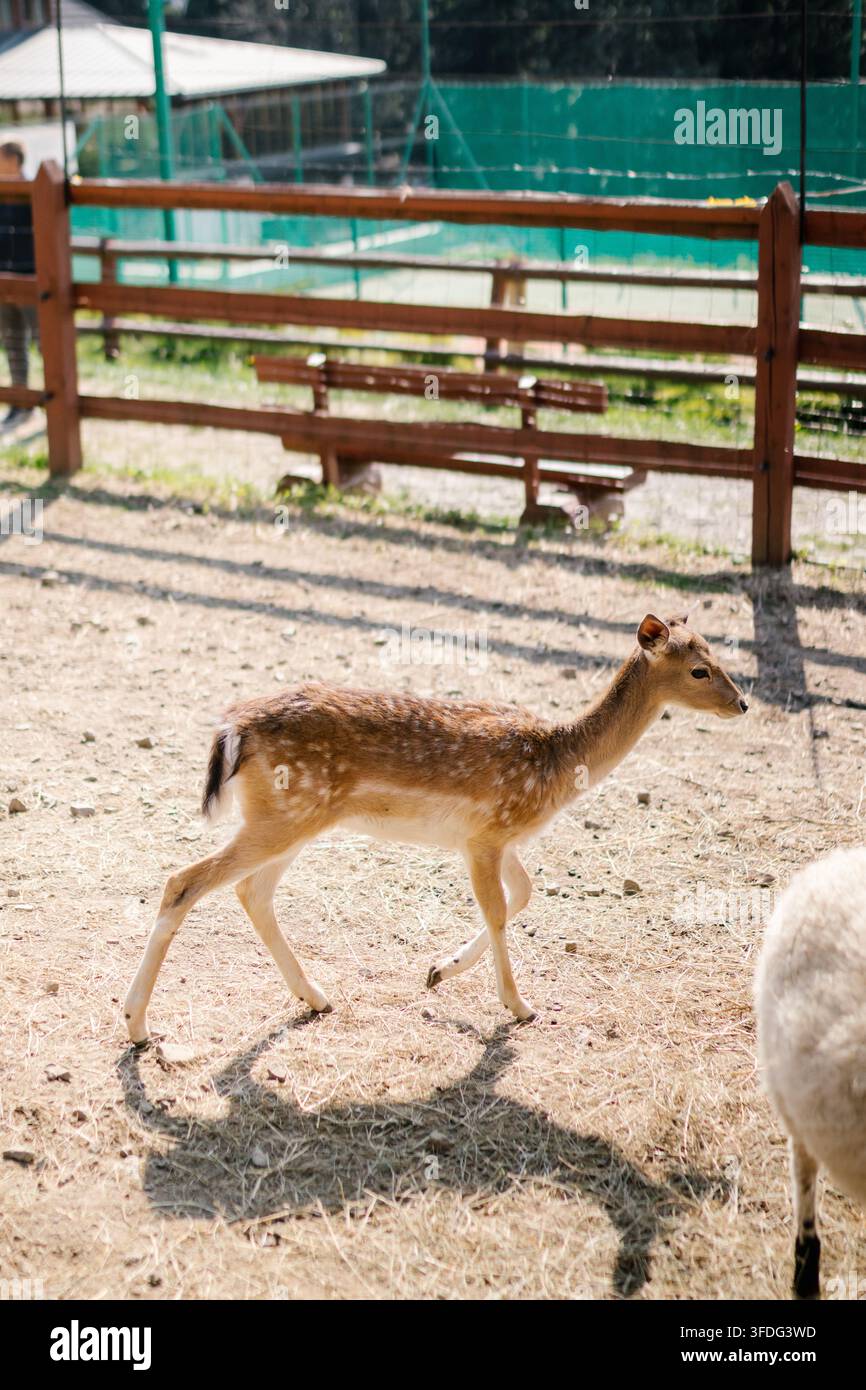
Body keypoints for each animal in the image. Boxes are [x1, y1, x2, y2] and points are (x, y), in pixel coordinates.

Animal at [124, 613, 748, 1045]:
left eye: (717, 653)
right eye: (698, 668)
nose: (742, 703)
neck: (558, 763)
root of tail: (233, 727)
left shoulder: (495, 839)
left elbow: (524, 894)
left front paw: (438, 972)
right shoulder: (487, 833)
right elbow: (498, 910)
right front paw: (518, 1006)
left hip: (292, 820)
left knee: (251, 891)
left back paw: (316, 998)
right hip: (285, 815)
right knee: (184, 881)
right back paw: (136, 1025)